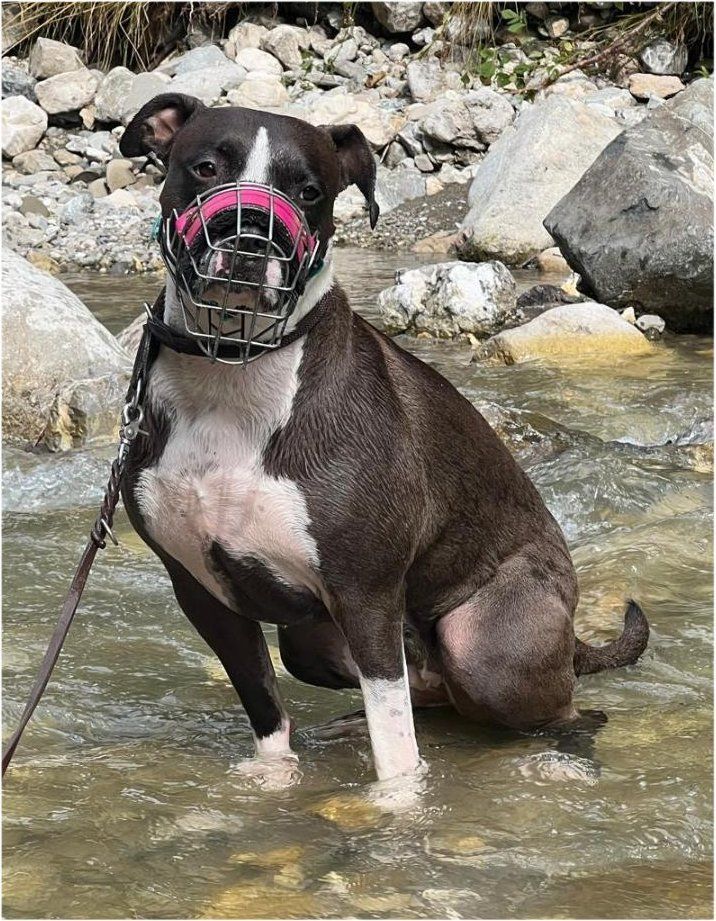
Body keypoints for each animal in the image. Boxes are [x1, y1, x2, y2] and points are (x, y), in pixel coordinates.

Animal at [118, 93, 649, 785]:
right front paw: (273, 784)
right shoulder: (204, 593)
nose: (249, 231)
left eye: (310, 191)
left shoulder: (366, 596)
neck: (233, 374)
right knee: (428, 696)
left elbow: (395, 753)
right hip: (311, 641)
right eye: (205, 167)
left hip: (485, 646)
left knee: (557, 708)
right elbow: (266, 710)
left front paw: (399, 806)